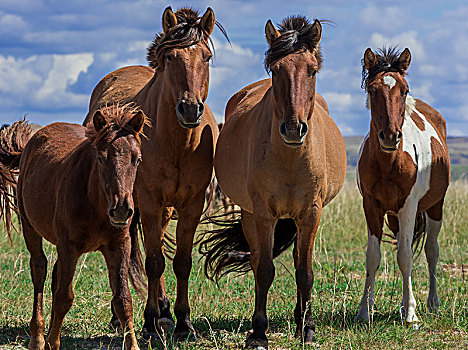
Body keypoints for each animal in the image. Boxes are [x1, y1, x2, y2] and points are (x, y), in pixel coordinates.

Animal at [0, 104, 146, 350]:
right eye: (101, 159)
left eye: (137, 159)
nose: (121, 210)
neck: (95, 203)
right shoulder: (69, 245)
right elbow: (63, 297)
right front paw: (51, 342)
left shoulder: (119, 245)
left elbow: (123, 300)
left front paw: (133, 345)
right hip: (31, 228)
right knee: (39, 270)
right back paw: (38, 337)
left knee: (55, 275)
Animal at [82, 6, 229, 340]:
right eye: (171, 57)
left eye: (206, 57)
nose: (190, 109)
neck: (177, 143)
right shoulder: (147, 202)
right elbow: (152, 263)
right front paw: (149, 323)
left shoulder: (191, 205)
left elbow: (181, 262)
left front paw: (184, 322)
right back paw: (125, 317)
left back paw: (164, 310)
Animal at [199, 15, 346, 348]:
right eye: (276, 70)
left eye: (312, 70)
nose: (293, 129)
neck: (290, 160)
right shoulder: (264, 214)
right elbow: (264, 270)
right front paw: (258, 333)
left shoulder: (311, 213)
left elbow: (305, 271)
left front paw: (307, 328)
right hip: (250, 214)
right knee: (257, 261)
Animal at [356, 46, 452, 326]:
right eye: (372, 90)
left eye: (404, 90)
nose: (390, 136)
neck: (389, 163)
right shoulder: (372, 206)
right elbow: (373, 257)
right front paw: (364, 310)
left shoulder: (409, 206)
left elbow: (406, 258)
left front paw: (411, 314)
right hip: (394, 216)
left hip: (434, 208)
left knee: (431, 252)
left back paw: (431, 303)